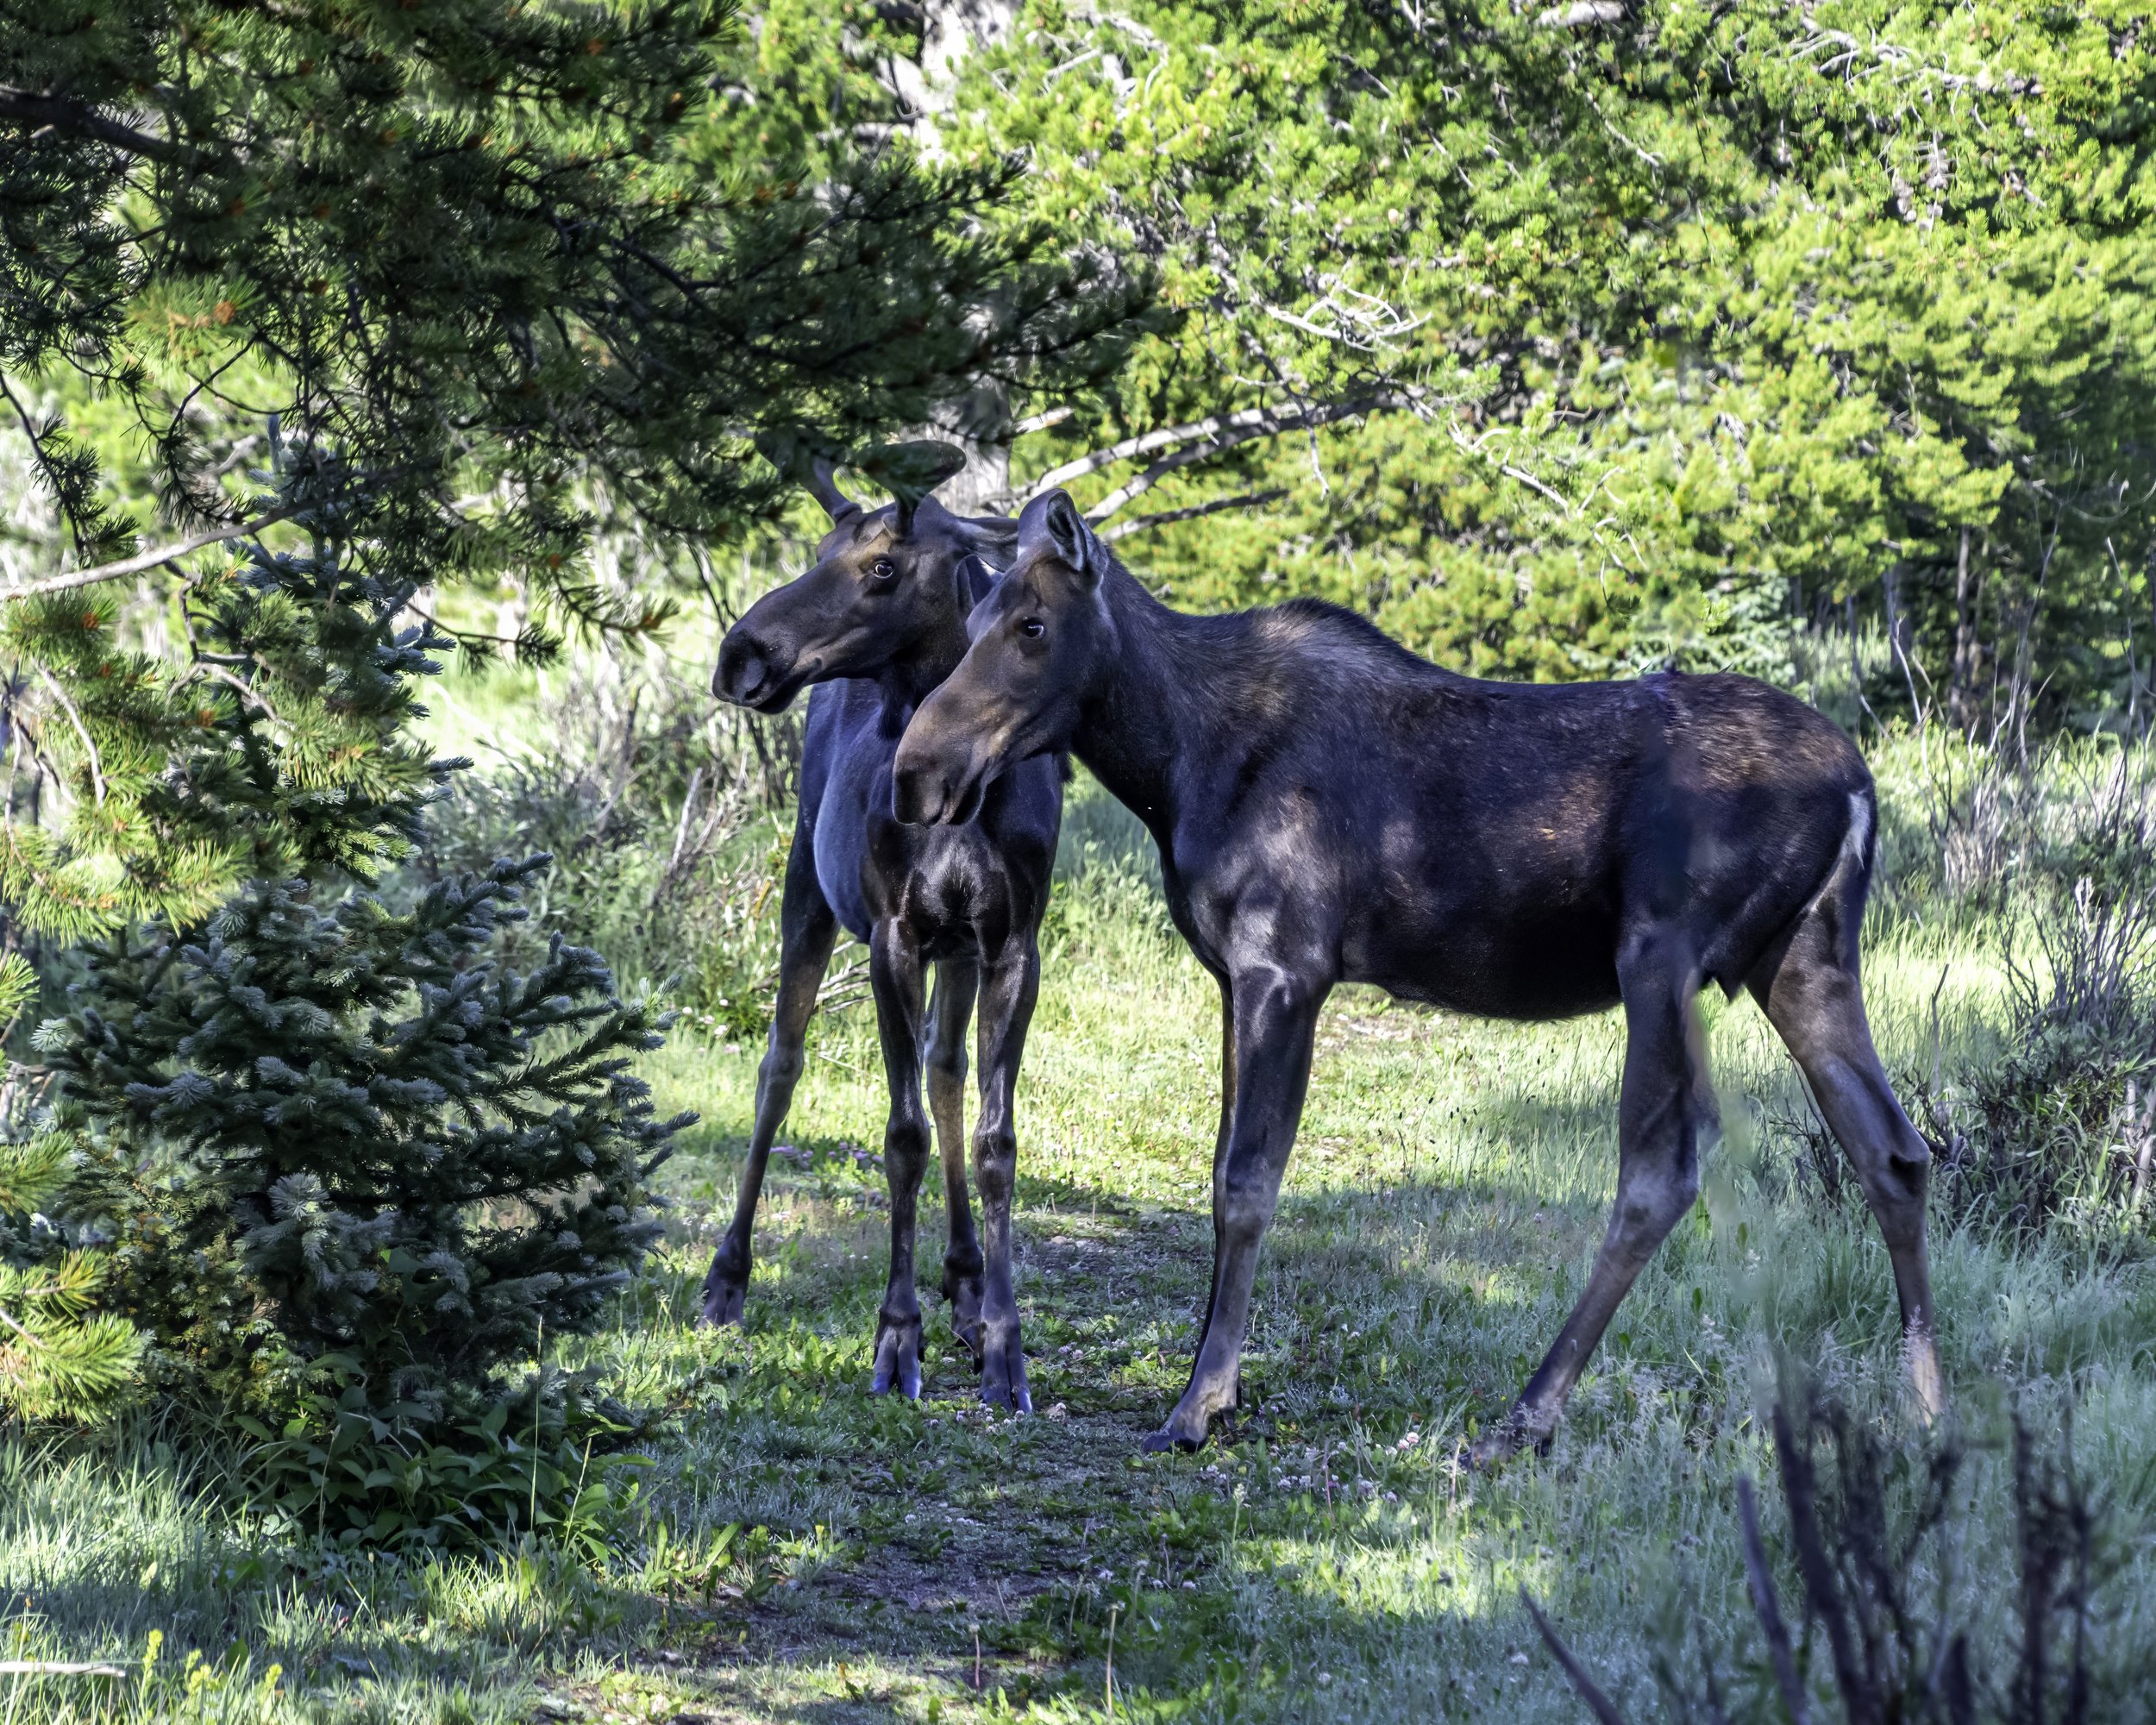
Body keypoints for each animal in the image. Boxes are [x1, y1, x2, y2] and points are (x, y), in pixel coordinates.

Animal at [703, 442, 1057, 1412]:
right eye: (822, 547)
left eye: (884, 566)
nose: (740, 655)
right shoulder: (894, 936)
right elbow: (900, 1138)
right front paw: (897, 1337)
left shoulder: (1009, 945)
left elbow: (992, 1135)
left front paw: (1004, 1342)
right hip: (807, 893)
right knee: (779, 1065)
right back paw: (727, 1276)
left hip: (953, 950)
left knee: (944, 1070)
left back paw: (965, 1280)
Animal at [889, 487, 1944, 1462]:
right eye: (972, 624)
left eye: (1032, 626)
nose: (917, 771)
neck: (1168, 763)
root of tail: (1859, 786)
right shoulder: (1230, 975)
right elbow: (1221, 1172)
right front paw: (1210, 1383)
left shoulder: (1286, 965)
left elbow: (1246, 1183)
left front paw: (1199, 1403)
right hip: (1803, 957)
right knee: (1892, 1150)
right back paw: (1926, 1404)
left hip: (1662, 956)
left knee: (1661, 1169)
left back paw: (1526, 1414)